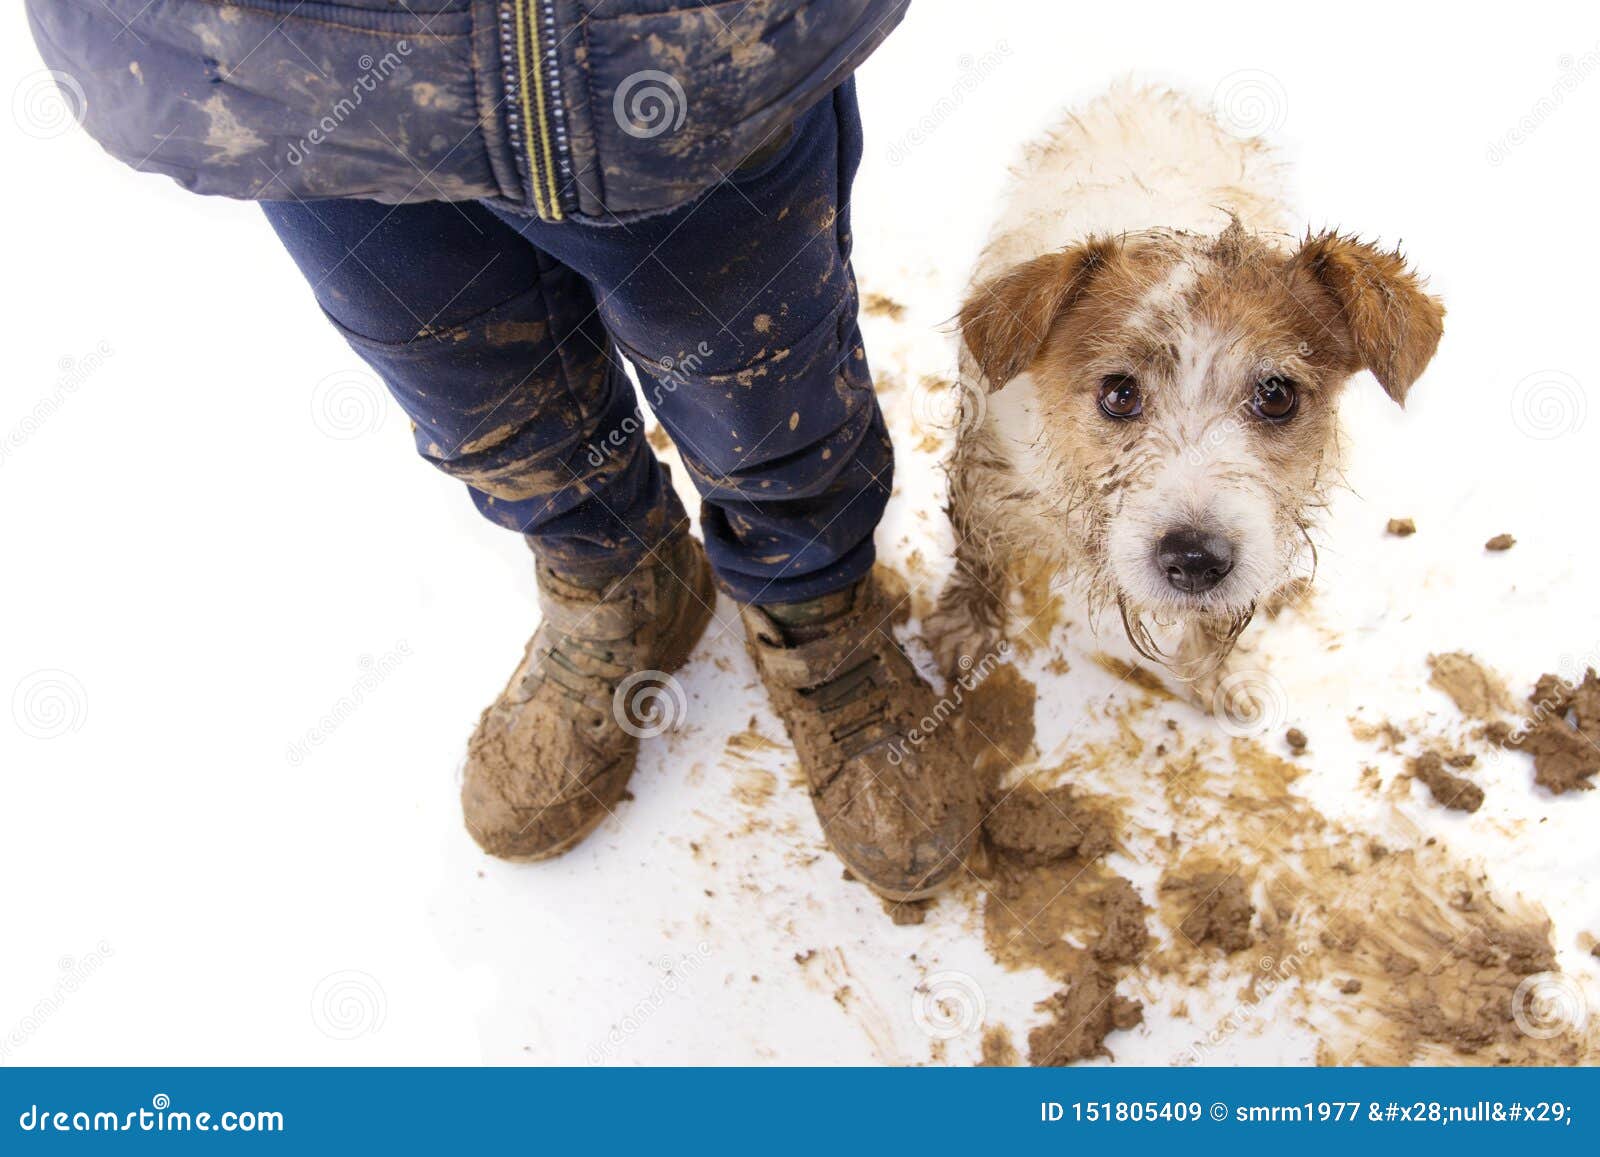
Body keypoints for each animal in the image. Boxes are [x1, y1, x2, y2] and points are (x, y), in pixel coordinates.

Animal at [928, 83, 1440, 697]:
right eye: (1119, 394)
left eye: (1277, 395)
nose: (1195, 559)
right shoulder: (990, 472)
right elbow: (980, 555)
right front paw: (968, 634)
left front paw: (1224, 678)